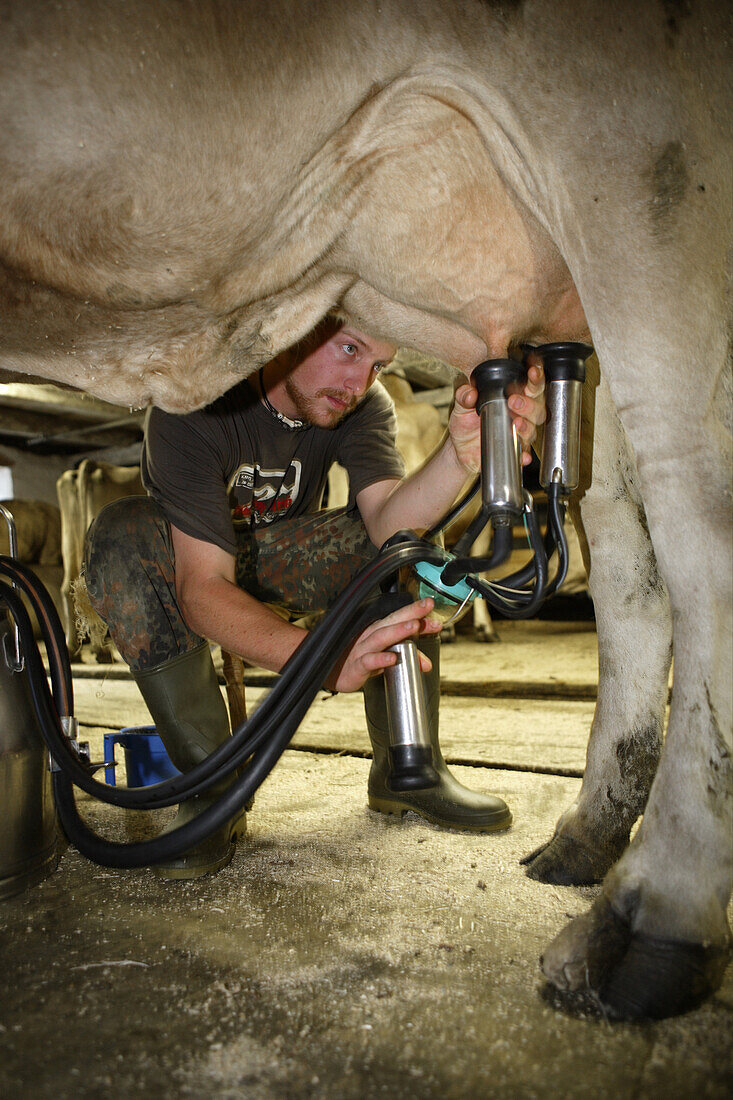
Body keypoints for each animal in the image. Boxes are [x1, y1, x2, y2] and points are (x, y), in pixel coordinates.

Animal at [0, 0, 726, 1016]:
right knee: (622, 562)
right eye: (346, 350)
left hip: (643, 197)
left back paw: (649, 926)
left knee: (699, 541)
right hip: (580, 309)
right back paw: (576, 839)